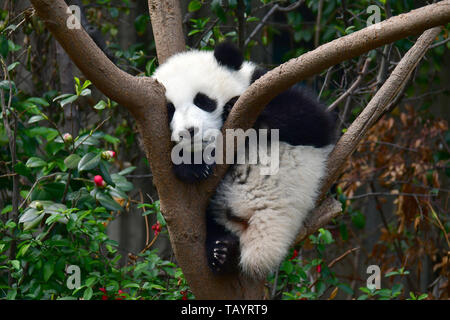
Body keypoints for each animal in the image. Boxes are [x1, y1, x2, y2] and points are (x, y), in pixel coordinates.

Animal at [153, 43, 336, 280]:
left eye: (203, 100)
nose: (189, 131)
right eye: (170, 110)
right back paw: (221, 250)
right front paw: (193, 166)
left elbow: (313, 121)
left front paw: (231, 108)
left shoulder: (264, 87)